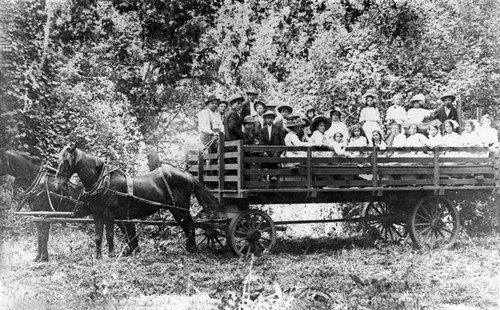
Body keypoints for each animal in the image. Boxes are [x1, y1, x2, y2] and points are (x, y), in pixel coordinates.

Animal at [54, 145, 221, 256]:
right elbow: (98, 237)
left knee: (190, 225)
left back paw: (193, 248)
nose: (58, 185)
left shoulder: (109, 215)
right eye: (58, 160)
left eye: (66, 162)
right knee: (187, 226)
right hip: (176, 210)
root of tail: (187, 175)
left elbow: (109, 235)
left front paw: (111, 255)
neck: (104, 182)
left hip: (180, 209)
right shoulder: (98, 215)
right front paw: (98, 257)